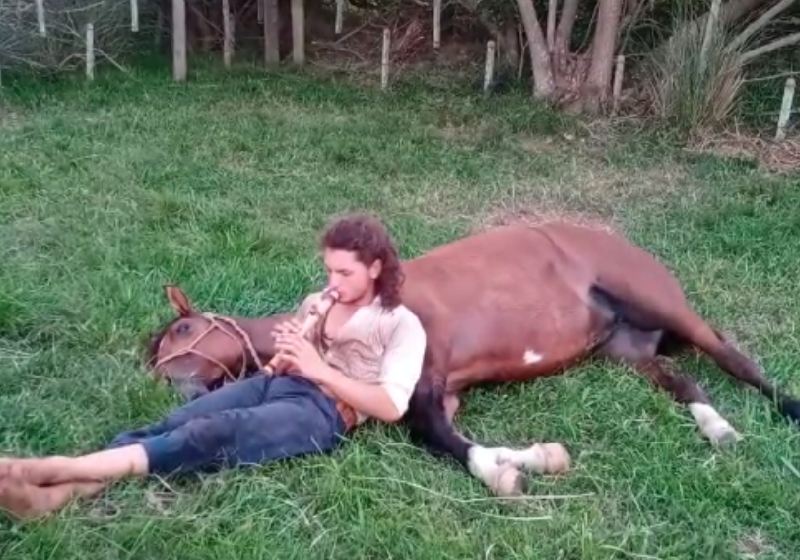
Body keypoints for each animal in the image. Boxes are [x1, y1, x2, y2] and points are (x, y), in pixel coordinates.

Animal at [147, 222, 800, 496]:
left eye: (183, 328)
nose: (173, 388)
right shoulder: (446, 390)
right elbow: (443, 433)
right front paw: (524, 459)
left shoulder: (424, 381)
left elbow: (436, 436)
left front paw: (503, 471)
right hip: (626, 348)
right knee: (683, 378)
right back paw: (718, 427)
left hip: (661, 302)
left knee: (730, 356)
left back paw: (785, 407)